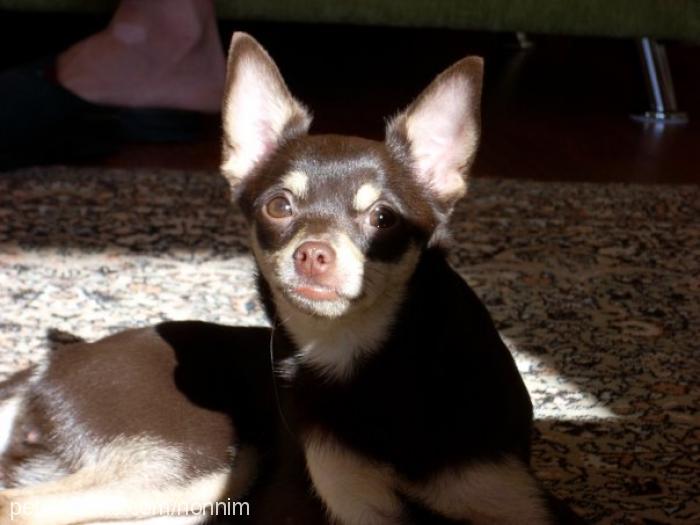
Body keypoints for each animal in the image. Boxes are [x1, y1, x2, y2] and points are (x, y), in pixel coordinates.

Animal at [0, 33, 584, 524]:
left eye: (384, 218)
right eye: (279, 207)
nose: (313, 253)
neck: (373, 363)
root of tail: (51, 365)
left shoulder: (515, 501)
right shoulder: (350, 508)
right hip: (201, 458)